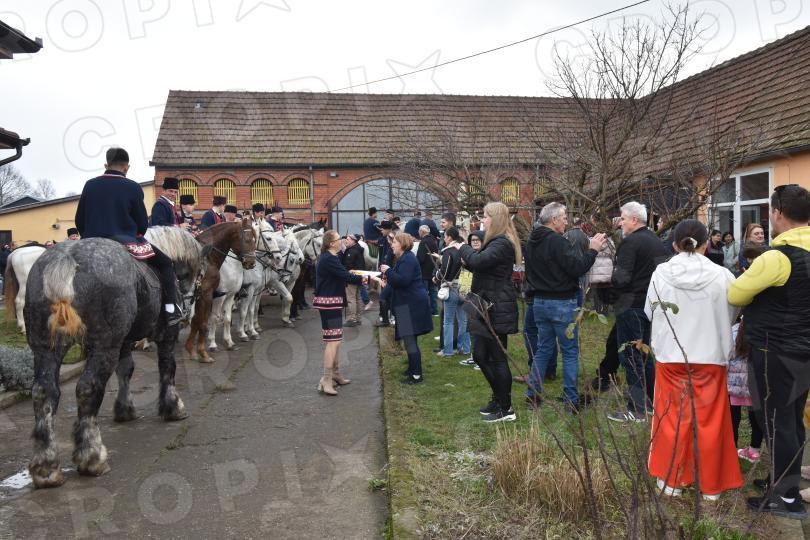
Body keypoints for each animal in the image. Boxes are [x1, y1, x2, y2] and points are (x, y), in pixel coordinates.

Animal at [23, 231, 201, 488]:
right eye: (191, 272)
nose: (188, 305)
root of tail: (65, 259)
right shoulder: (167, 335)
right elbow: (168, 367)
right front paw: (173, 407)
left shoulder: (124, 341)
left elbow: (126, 369)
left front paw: (124, 409)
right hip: (103, 345)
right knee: (88, 388)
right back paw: (92, 457)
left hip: (46, 347)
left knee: (43, 392)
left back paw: (46, 466)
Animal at [186, 219, 257, 362]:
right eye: (247, 240)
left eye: (255, 239)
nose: (251, 263)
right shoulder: (215, 296)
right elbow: (210, 319)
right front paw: (211, 345)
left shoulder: (230, 295)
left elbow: (226, 319)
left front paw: (229, 342)